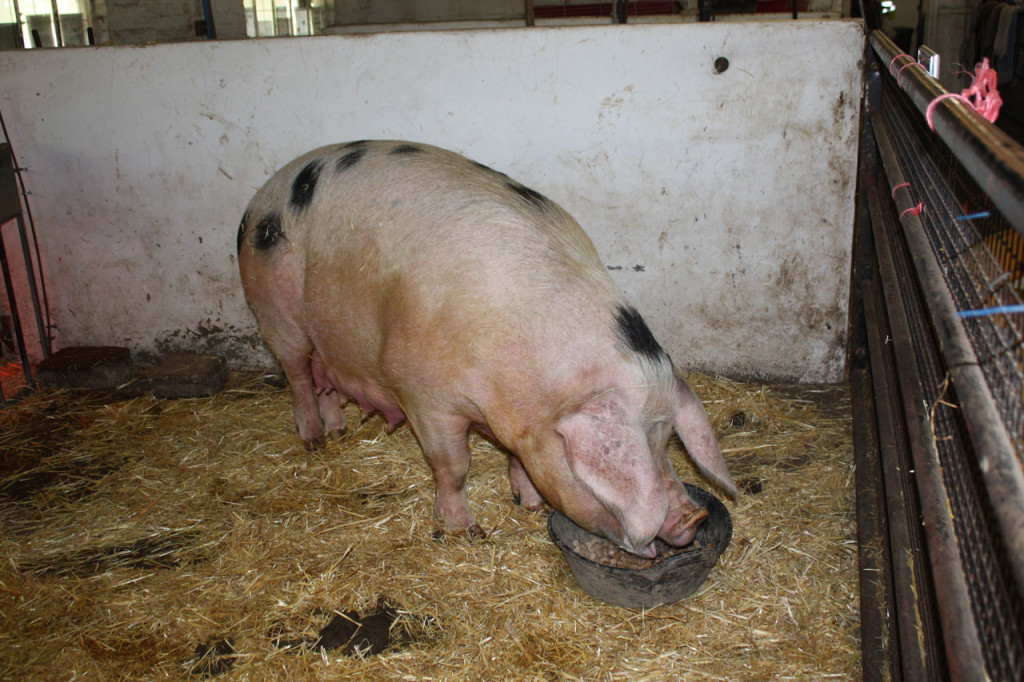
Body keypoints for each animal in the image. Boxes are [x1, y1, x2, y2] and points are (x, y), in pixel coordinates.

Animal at [237, 139, 737, 557]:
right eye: (644, 441)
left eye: (667, 440)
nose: (695, 517)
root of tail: (261, 196)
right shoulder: (422, 394)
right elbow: (453, 466)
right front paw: (464, 532)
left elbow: (516, 459)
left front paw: (528, 503)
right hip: (276, 313)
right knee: (298, 377)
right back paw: (314, 442)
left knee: (323, 378)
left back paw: (339, 432)